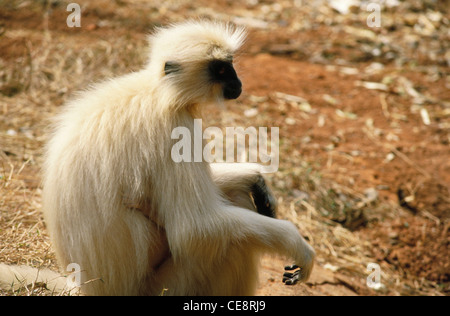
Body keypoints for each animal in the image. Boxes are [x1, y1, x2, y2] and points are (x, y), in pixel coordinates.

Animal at [37, 20, 316, 296]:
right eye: (221, 70)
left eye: (230, 65)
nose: (237, 81)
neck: (158, 92)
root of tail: (83, 287)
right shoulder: (174, 127)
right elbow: (193, 230)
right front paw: (297, 243)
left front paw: (255, 178)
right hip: (163, 287)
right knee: (231, 243)